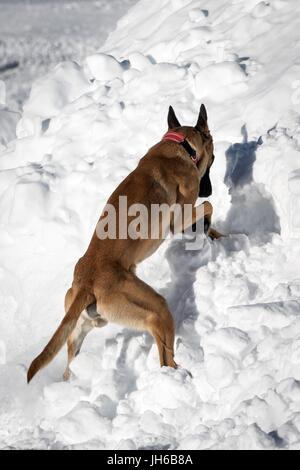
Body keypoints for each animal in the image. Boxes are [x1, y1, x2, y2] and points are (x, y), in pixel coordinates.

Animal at [27, 103, 220, 382]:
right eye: (213, 159)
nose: (209, 189)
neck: (179, 146)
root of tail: (86, 284)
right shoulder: (178, 218)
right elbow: (207, 207)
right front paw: (209, 228)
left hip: (81, 326)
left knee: (69, 364)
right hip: (153, 308)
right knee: (165, 354)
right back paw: (178, 378)